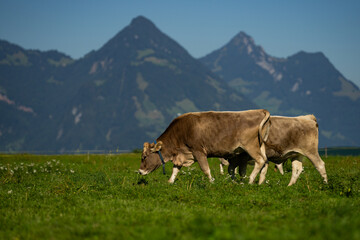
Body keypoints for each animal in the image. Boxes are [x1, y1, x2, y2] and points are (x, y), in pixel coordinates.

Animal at [138, 110, 270, 184]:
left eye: (144, 157)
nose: (140, 171)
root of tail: (259, 111)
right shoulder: (181, 154)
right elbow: (175, 169)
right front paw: (170, 182)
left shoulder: (198, 150)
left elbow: (205, 169)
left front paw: (211, 182)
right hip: (261, 146)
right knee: (265, 161)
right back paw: (260, 182)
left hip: (250, 146)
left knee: (260, 160)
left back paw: (251, 180)